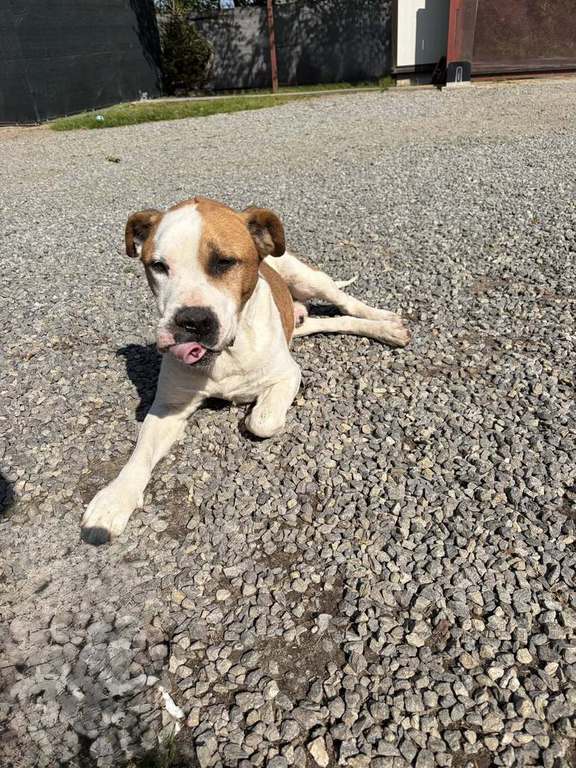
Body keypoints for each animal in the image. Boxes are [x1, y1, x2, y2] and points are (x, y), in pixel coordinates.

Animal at [81, 197, 409, 544]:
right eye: (158, 266)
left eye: (225, 262)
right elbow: (140, 453)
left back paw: (385, 322)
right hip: (300, 322)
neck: (225, 353)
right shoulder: (168, 407)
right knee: (331, 322)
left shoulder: (288, 374)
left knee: (346, 303)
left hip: (307, 278)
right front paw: (114, 500)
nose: (192, 321)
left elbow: (262, 422)